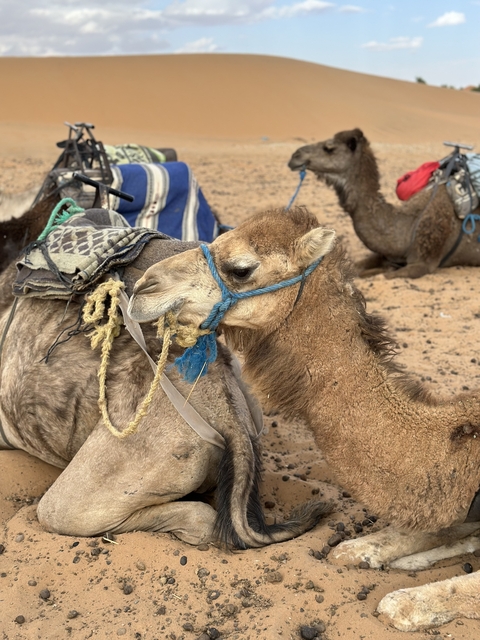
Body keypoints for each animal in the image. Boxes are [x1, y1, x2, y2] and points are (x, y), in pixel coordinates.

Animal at [129, 206, 480, 632]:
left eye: (241, 268)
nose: (144, 286)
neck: (459, 446)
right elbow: (355, 549)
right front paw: (369, 550)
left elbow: (408, 601)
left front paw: (410, 598)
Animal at [288, 128, 480, 279]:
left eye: (329, 148)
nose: (295, 156)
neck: (408, 226)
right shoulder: (384, 254)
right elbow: (356, 267)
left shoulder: (423, 263)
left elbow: (385, 275)